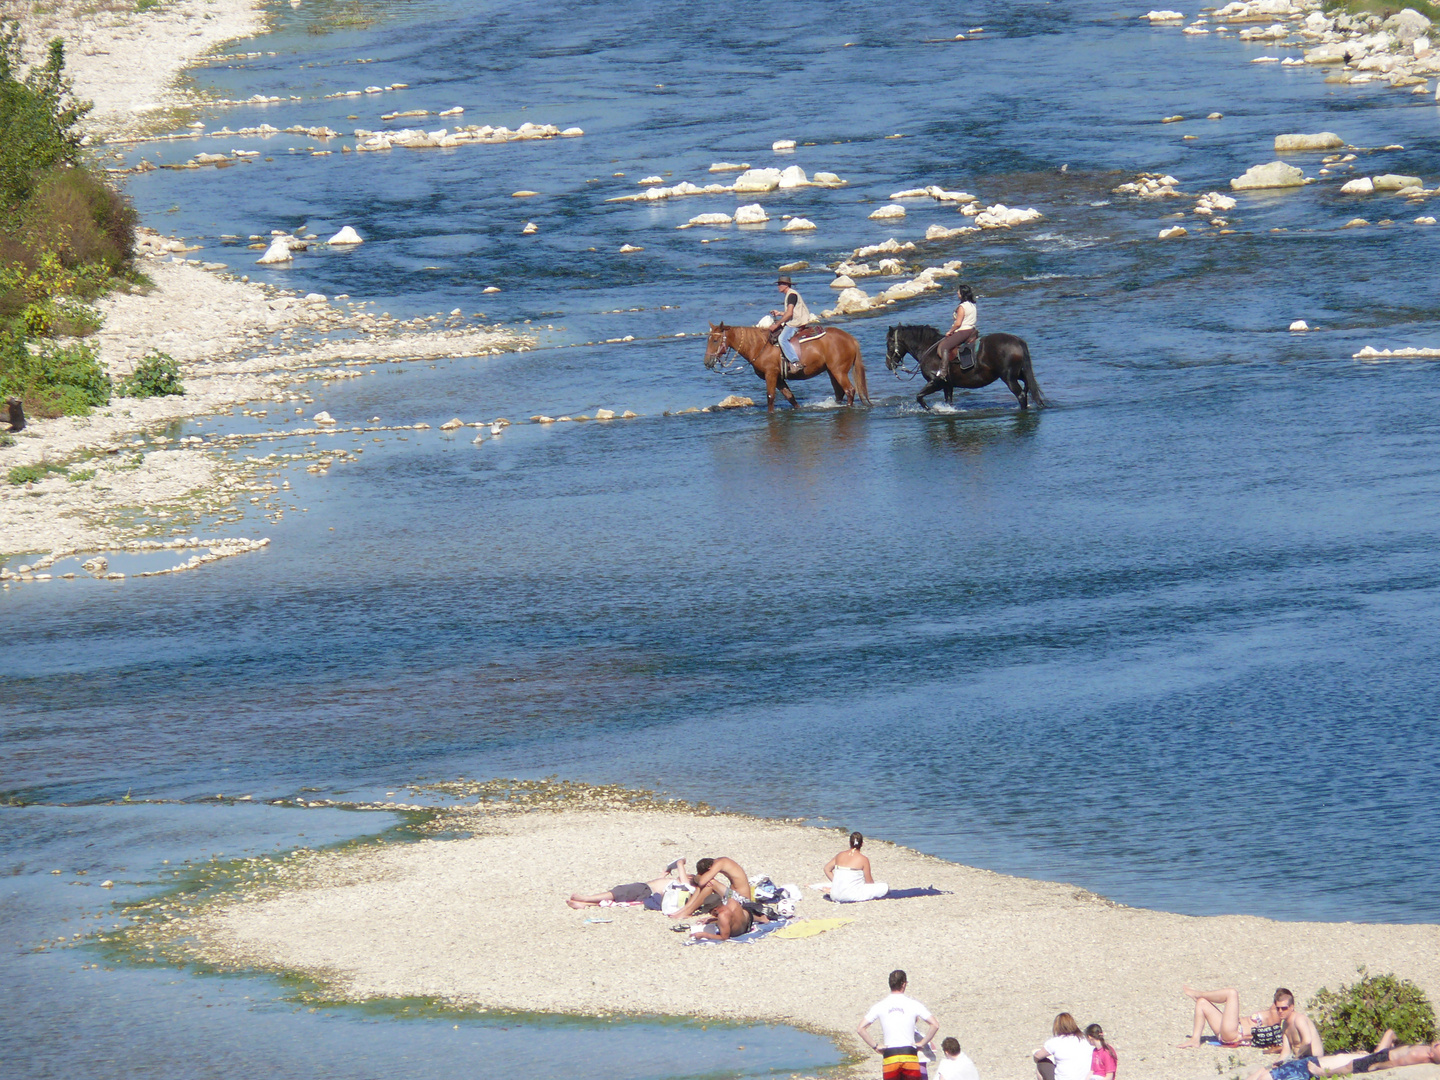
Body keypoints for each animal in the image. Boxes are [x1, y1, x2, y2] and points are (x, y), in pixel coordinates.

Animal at [702, 324, 869, 411]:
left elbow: (770, 397)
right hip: (831, 371)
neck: (759, 346)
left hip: (839, 371)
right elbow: (790, 397)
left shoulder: (771, 374)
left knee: (850, 390)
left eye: (715, 340)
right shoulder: (780, 378)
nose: (707, 362)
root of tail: (851, 339)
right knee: (840, 392)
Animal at [875, 324, 1048, 411]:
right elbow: (948, 401)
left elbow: (919, 396)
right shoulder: (948, 386)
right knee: (1027, 386)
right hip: (1018, 373)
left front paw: (930, 409)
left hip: (1008, 377)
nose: (888, 364)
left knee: (1021, 395)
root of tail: (1017, 341)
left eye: (889, 343)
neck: (928, 349)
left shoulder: (936, 382)